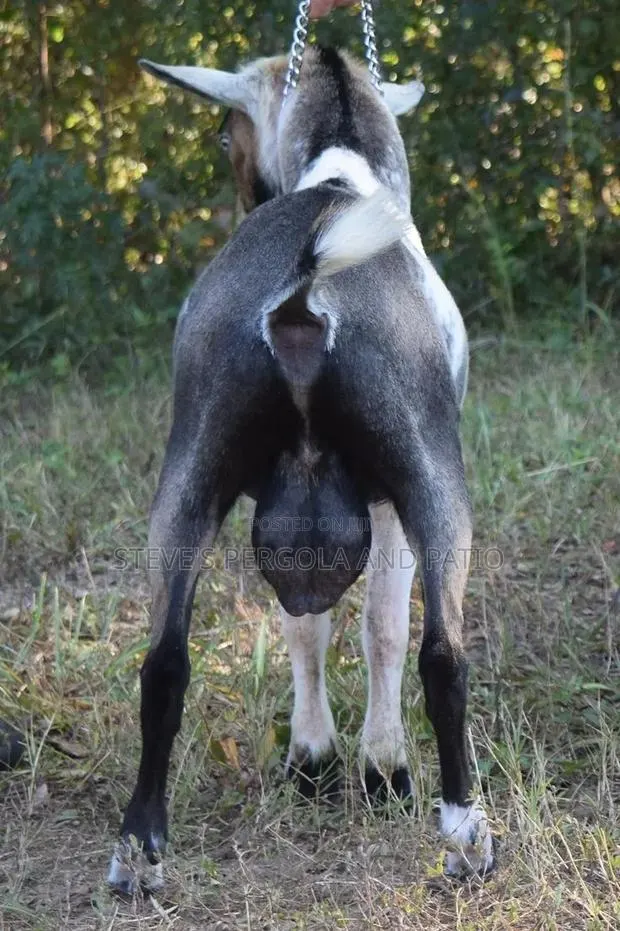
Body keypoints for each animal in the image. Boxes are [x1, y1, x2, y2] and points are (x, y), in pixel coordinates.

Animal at [108, 46, 494, 893]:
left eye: (227, 134)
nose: (239, 185)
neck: (342, 171)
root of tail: (299, 298)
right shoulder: (386, 504)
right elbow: (383, 629)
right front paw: (381, 768)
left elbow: (303, 625)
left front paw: (312, 759)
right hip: (433, 478)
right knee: (443, 652)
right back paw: (464, 830)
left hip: (188, 470)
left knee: (164, 660)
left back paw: (137, 847)